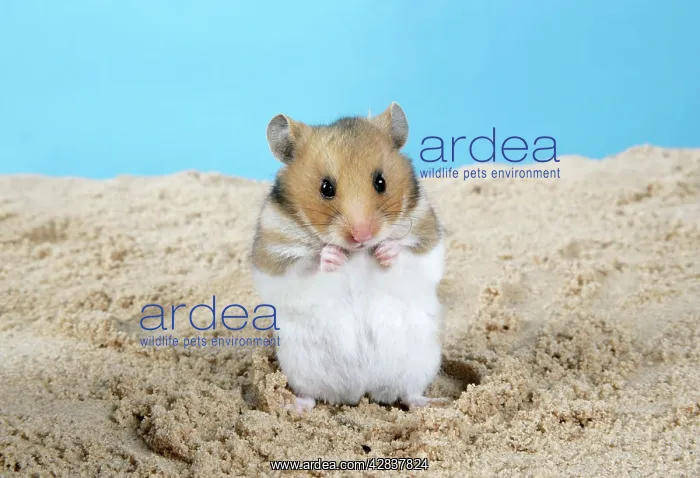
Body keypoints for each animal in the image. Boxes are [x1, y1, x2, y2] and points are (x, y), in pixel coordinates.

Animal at [251, 102, 446, 412]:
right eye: (326, 188)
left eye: (381, 182)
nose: (362, 236)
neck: (356, 254)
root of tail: (361, 391)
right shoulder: (273, 259)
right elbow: (304, 269)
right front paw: (331, 256)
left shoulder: (429, 245)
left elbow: (411, 258)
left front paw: (385, 250)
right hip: (299, 366)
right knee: (311, 396)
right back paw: (290, 406)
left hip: (421, 361)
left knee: (410, 394)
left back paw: (437, 402)